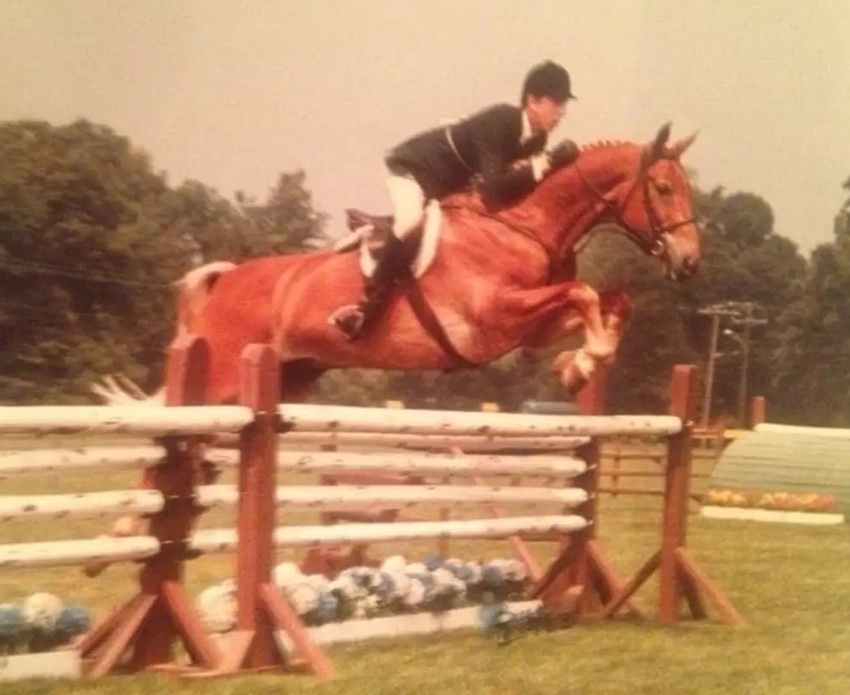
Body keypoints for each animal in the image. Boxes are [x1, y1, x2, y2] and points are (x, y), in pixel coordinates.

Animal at [94, 122, 704, 410]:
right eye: (663, 188)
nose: (690, 261)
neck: (522, 221)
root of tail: (228, 278)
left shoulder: (527, 328)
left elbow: (612, 300)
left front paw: (577, 365)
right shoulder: (497, 317)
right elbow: (584, 293)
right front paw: (585, 362)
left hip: (289, 374)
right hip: (220, 372)